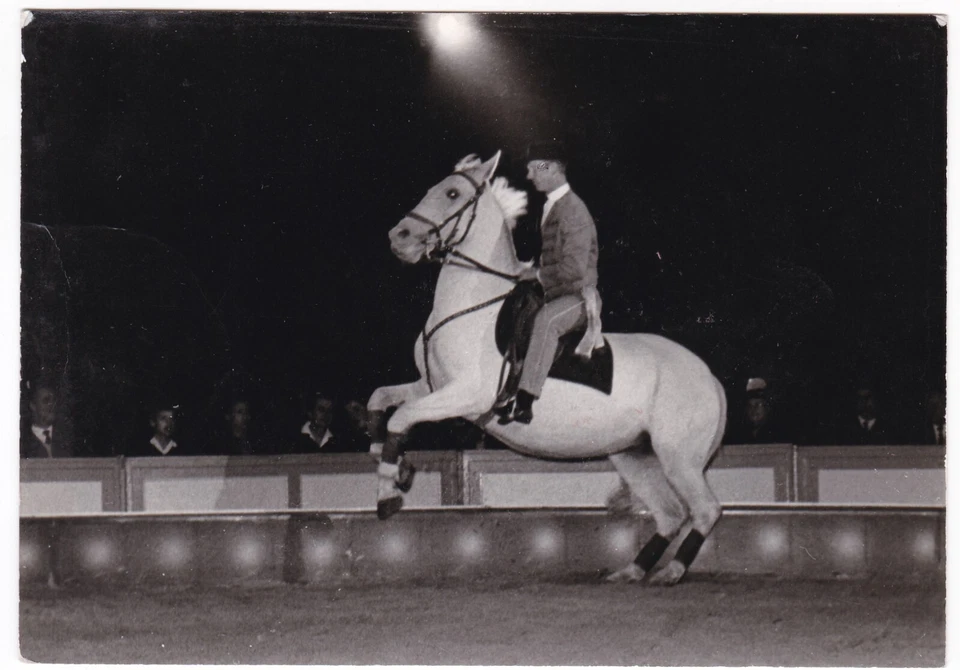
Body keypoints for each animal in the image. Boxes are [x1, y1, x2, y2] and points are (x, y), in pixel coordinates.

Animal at [367, 151, 727, 585]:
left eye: (452, 193)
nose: (398, 236)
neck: (472, 307)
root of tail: (709, 377)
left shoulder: (467, 395)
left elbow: (401, 417)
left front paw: (389, 494)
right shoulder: (430, 386)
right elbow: (380, 402)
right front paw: (392, 464)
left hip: (678, 456)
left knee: (704, 510)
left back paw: (671, 571)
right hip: (634, 455)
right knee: (670, 514)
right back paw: (632, 570)